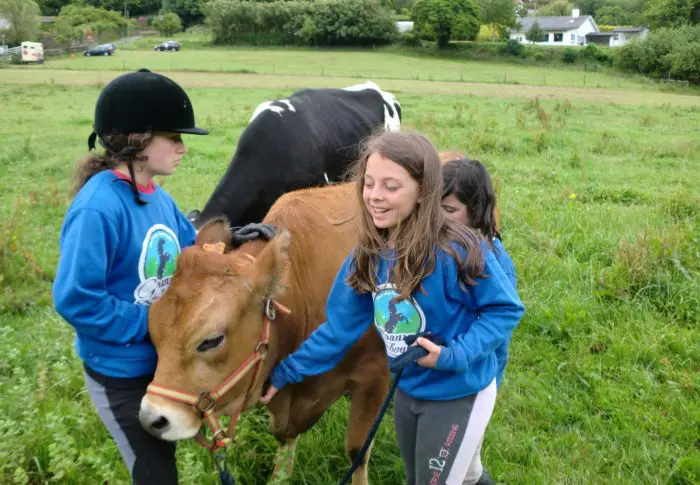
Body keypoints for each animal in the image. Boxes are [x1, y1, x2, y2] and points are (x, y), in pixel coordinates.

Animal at [137, 182, 388, 484]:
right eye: (153, 334)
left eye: (211, 341)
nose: (151, 419)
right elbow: (283, 436)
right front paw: (280, 477)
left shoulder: (375, 374)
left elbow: (357, 450)